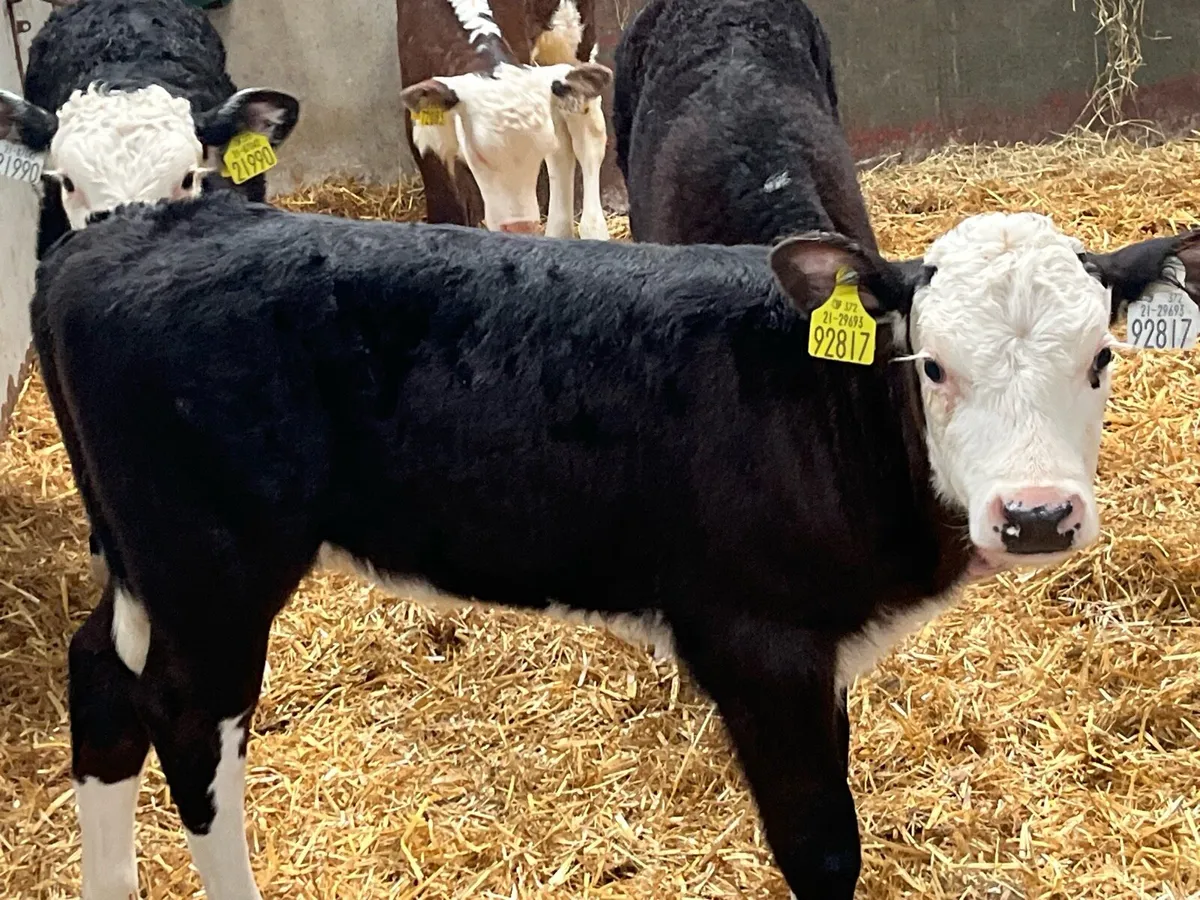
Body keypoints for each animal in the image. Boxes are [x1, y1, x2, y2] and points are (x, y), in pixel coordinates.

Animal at [31, 189, 1199, 898]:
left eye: (1101, 359)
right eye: (933, 365)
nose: (1037, 514)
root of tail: (123, 229)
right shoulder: (756, 637)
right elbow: (822, 844)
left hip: (142, 556)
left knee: (102, 677)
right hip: (214, 562)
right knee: (190, 722)